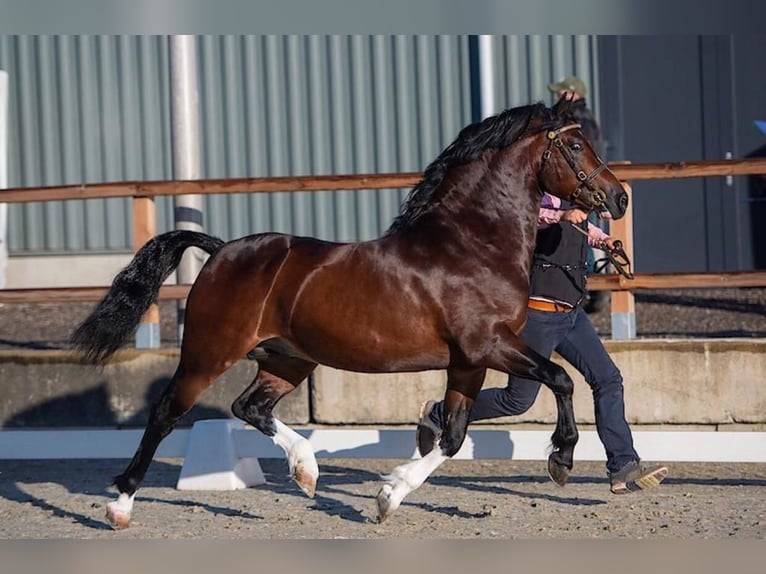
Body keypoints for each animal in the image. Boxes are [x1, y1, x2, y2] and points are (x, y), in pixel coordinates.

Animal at [72, 95, 632, 532]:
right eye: (576, 145)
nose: (619, 198)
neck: (471, 243)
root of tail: (220, 250)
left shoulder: (467, 362)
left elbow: (453, 436)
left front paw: (387, 497)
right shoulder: (489, 345)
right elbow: (561, 379)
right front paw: (561, 459)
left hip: (289, 358)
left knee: (250, 407)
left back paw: (306, 471)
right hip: (209, 353)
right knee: (167, 413)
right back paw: (120, 506)